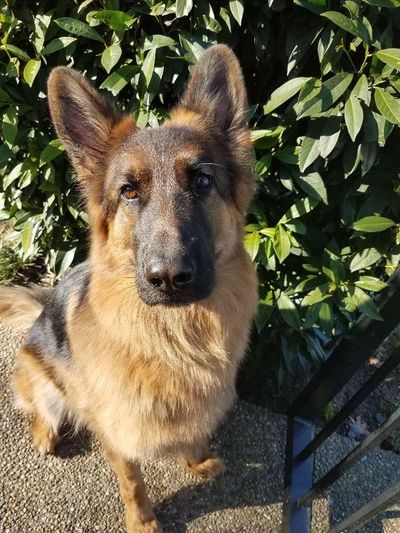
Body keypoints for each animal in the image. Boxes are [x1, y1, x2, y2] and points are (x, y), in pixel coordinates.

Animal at [0, 46, 256, 532]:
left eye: (202, 181)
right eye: (129, 192)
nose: (169, 278)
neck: (174, 338)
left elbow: (193, 435)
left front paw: (197, 460)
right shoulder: (118, 431)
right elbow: (133, 483)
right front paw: (143, 521)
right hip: (44, 383)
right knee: (38, 406)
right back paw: (45, 432)